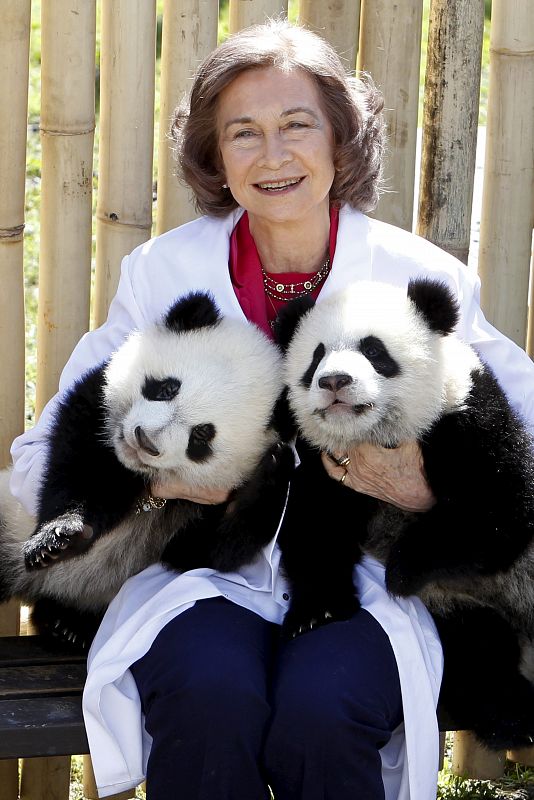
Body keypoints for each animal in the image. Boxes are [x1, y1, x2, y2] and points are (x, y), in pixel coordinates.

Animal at [0, 294, 294, 648]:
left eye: (201, 436)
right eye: (166, 388)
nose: (145, 440)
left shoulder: (194, 515)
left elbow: (206, 551)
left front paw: (274, 470)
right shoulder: (97, 402)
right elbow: (75, 465)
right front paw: (59, 537)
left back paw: (67, 624)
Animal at [278, 280, 534, 752]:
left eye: (374, 350)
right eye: (316, 356)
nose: (334, 380)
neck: (374, 438)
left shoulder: (466, 414)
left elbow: (498, 511)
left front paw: (402, 569)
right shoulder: (328, 467)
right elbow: (315, 531)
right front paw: (318, 613)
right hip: (464, 610)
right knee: (480, 650)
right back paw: (513, 715)